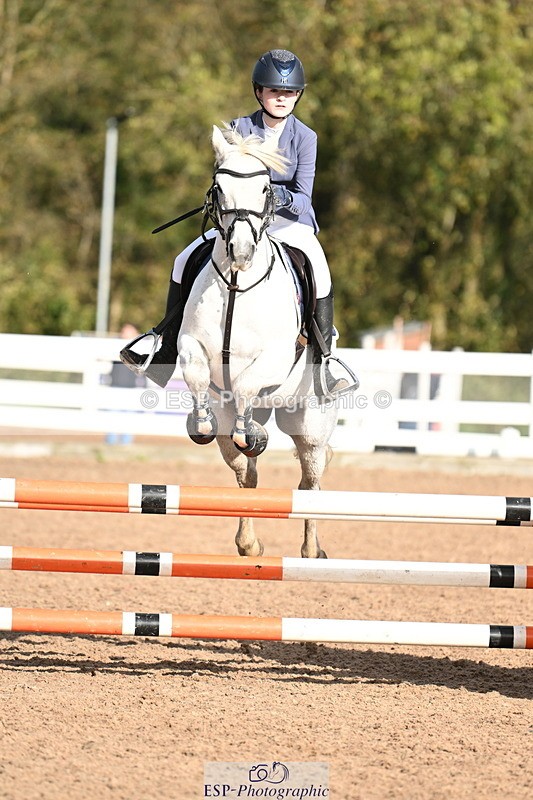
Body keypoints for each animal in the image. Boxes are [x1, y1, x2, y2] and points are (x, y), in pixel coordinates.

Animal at [178, 125, 346, 559]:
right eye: (218, 188)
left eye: (268, 189)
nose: (240, 251)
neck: (238, 284)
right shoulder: (190, 345)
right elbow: (200, 377)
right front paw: (202, 422)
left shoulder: (274, 359)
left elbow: (244, 384)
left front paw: (249, 431)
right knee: (244, 474)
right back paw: (249, 543)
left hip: (311, 426)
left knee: (309, 482)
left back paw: (311, 551)